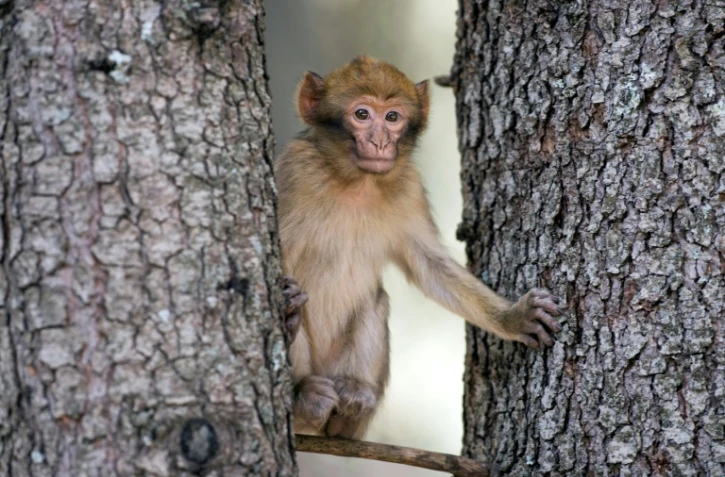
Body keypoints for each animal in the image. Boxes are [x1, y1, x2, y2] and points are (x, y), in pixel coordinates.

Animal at [276, 56, 563, 440]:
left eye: (392, 117)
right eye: (362, 114)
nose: (381, 141)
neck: (357, 182)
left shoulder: (408, 186)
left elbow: (430, 266)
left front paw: (513, 318)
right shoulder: (295, 172)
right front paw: (286, 312)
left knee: (374, 301)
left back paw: (350, 405)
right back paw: (302, 395)